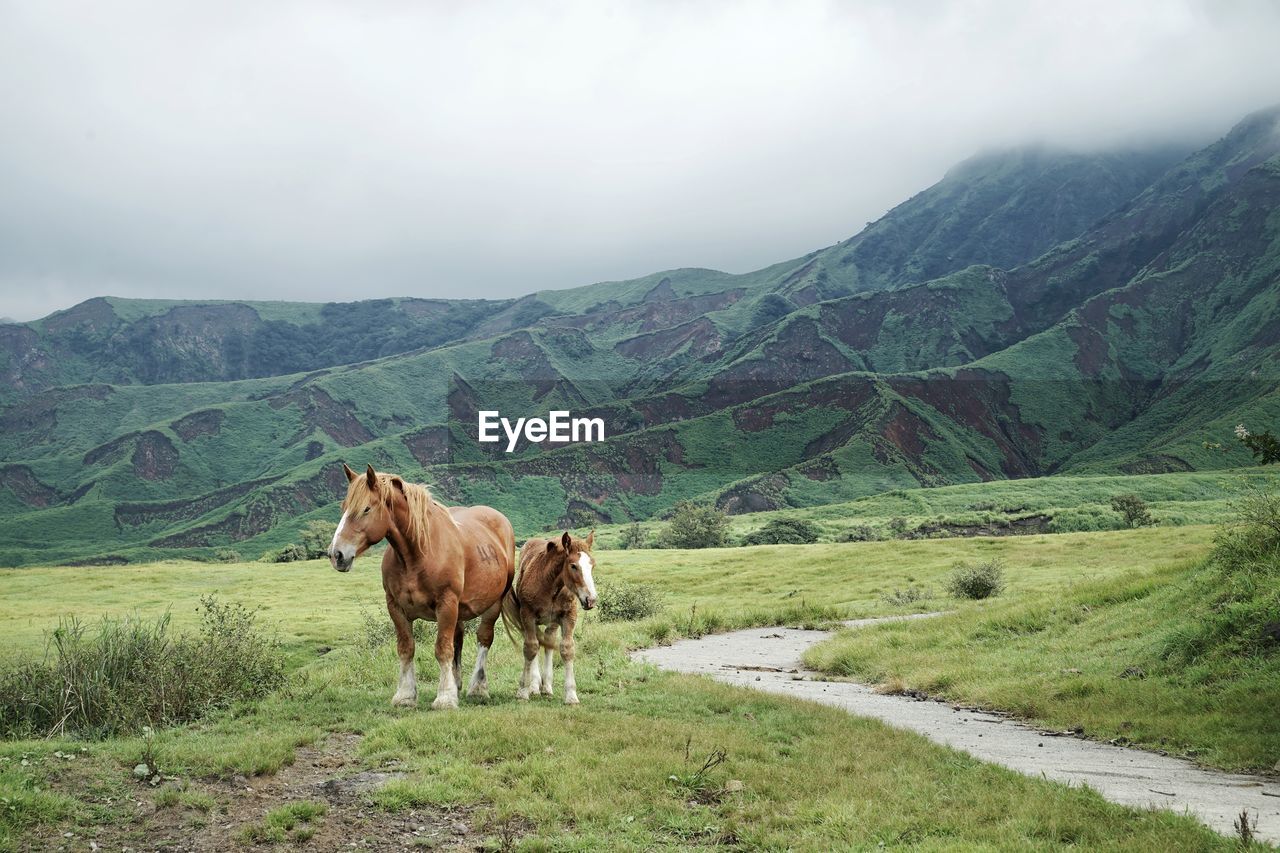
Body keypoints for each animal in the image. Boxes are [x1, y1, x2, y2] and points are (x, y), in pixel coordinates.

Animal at [325, 461, 514, 706]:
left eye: (366, 509)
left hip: (493, 604)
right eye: (344, 507)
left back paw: (478, 688)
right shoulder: (396, 607)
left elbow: (442, 649)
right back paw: (457, 684)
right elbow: (406, 648)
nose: (336, 554)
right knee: (458, 639)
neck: (418, 554)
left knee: (483, 639)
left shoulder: (446, 604)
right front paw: (405, 695)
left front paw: (445, 698)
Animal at [501, 527, 596, 701]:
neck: (550, 585)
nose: (591, 599)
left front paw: (571, 695)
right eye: (573, 566)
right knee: (535, 643)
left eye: (592, 565)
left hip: (552, 621)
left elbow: (567, 649)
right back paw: (534, 686)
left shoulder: (569, 615)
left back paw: (546, 687)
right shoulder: (527, 615)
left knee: (548, 641)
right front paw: (523, 690)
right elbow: (530, 648)